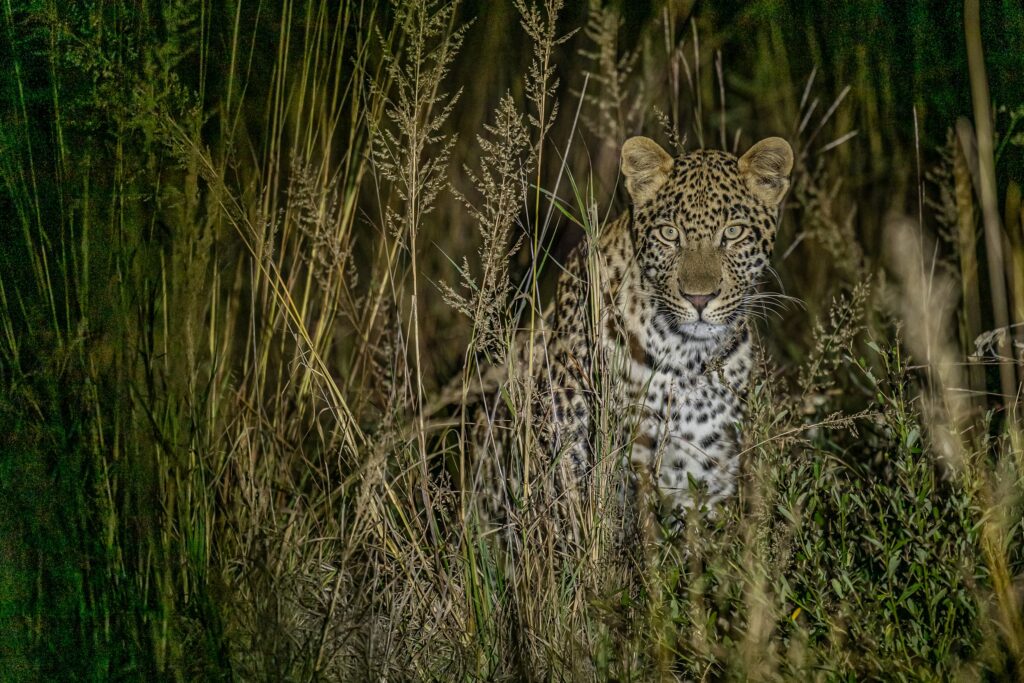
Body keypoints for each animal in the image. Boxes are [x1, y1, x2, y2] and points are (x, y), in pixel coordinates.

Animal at [468, 133, 794, 540]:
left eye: (733, 232)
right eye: (669, 234)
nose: (699, 298)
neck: (687, 359)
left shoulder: (708, 474)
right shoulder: (576, 464)